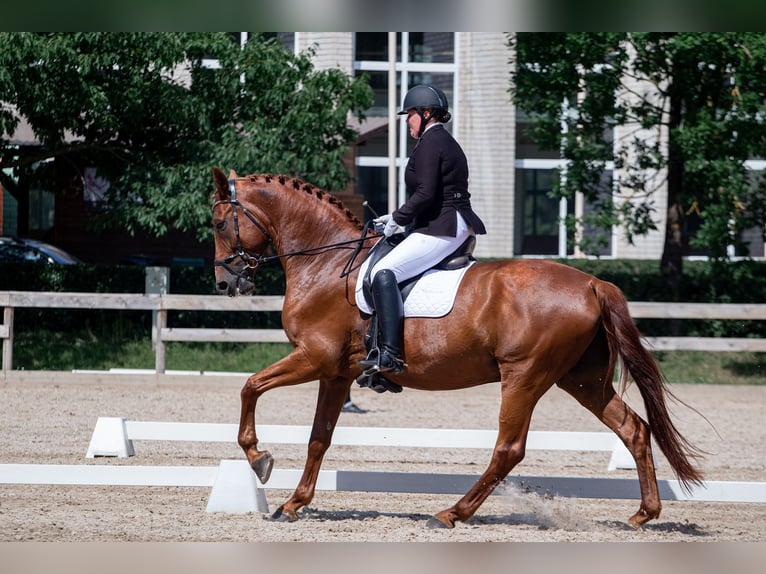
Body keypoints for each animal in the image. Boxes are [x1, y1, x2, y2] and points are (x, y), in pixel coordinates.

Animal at [213, 168, 704, 532]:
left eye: (218, 222)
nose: (225, 283)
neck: (326, 263)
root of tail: (592, 283)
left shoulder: (314, 358)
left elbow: (249, 387)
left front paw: (260, 460)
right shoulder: (335, 373)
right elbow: (319, 437)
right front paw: (293, 504)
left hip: (524, 377)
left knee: (509, 448)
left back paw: (451, 513)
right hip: (582, 379)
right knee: (634, 429)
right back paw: (642, 515)